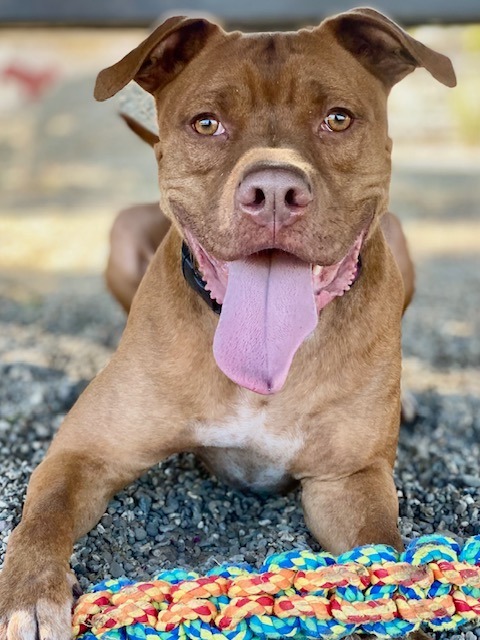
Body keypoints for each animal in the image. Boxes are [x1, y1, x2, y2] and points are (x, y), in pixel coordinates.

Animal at [0, 10, 454, 640]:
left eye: (338, 118)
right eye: (207, 123)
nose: (274, 192)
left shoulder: (348, 481)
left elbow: (381, 547)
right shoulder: (84, 454)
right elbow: (43, 513)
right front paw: (29, 594)